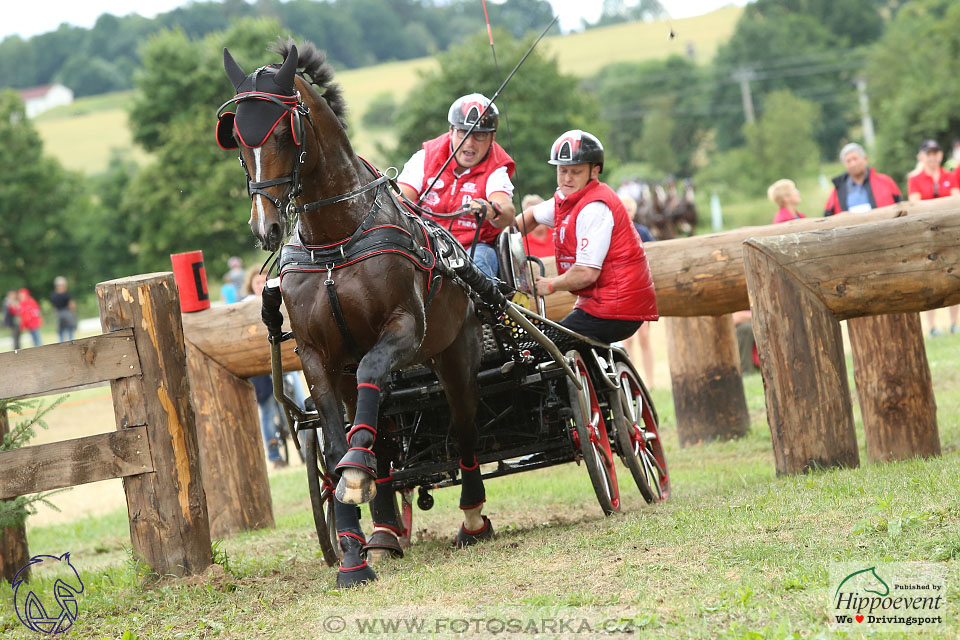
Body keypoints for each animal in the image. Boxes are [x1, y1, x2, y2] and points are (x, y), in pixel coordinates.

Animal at [218, 40, 496, 588]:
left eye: (282, 129)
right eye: (236, 135)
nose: (266, 227)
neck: (336, 238)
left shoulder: (403, 331)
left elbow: (373, 382)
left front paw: (353, 482)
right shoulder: (318, 357)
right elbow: (332, 443)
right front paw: (351, 550)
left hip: (456, 352)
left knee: (464, 425)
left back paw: (473, 517)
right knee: (382, 435)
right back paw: (383, 530)